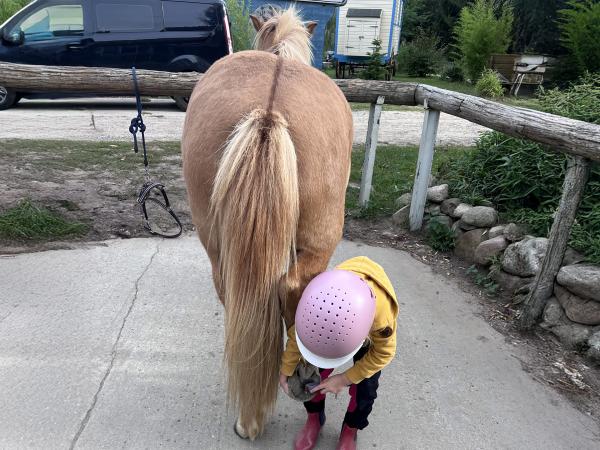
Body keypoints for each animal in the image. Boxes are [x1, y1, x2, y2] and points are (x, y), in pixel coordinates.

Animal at [181, 7, 353, 440]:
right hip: (319, 241)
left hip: (219, 248)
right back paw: (299, 378)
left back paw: (250, 414)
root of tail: (268, 111)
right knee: (294, 290)